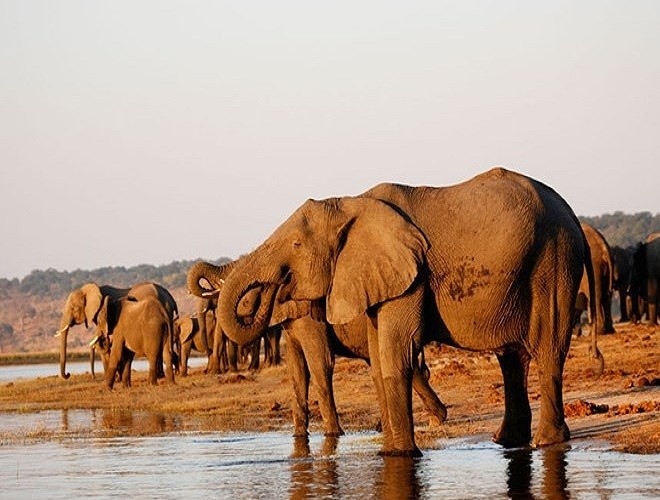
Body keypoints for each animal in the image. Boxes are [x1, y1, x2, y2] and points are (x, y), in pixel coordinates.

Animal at [214, 166, 600, 456]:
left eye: (296, 244)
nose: (273, 287)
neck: (350, 203)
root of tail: (573, 215)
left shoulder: (411, 274)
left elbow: (393, 350)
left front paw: (398, 454)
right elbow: (376, 357)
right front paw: (388, 451)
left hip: (553, 261)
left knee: (548, 346)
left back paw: (546, 442)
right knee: (512, 357)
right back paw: (506, 441)